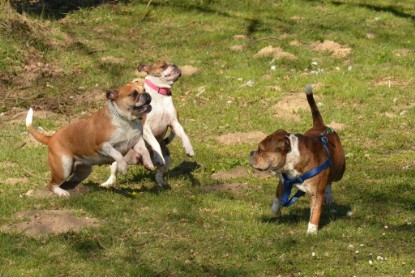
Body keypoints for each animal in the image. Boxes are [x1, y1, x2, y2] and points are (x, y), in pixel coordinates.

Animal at [26, 81, 156, 195]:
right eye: (133, 94)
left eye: (144, 90)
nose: (147, 95)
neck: (126, 120)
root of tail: (52, 137)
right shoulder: (103, 146)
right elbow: (117, 154)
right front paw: (123, 167)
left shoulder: (137, 142)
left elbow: (145, 151)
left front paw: (149, 163)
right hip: (63, 168)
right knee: (52, 184)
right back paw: (62, 193)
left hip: (84, 170)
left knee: (70, 181)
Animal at [249, 85, 346, 232]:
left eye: (261, 150)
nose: (251, 153)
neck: (292, 161)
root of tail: (321, 126)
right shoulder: (283, 182)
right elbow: (277, 199)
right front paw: (276, 211)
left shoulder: (316, 194)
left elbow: (315, 212)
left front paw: (312, 230)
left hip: (339, 171)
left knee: (331, 180)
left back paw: (329, 195)